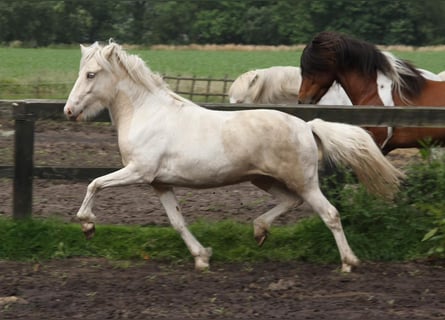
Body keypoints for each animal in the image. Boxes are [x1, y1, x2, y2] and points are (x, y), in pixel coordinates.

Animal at [65, 41, 402, 272]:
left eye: (91, 74)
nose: (69, 111)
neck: (148, 113)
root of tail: (307, 126)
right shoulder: (160, 183)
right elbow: (177, 222)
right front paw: (202, 257)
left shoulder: (139, 171)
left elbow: (94, 184)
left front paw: (88, 226)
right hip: (263, 179)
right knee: (290, 202)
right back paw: (260, 231)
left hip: (303, 181)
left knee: (329, 213)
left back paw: (348, 262)